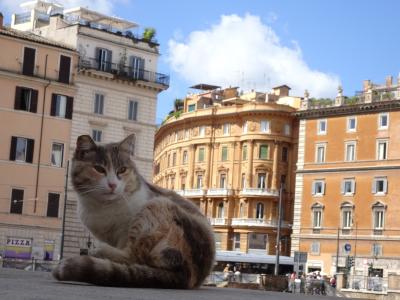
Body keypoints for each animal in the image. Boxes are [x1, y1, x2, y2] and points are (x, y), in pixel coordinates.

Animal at [54, 134, 216, 288]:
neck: (104, 206)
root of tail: (190, 277)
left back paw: (99, 252)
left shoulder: (125, 231)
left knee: (136, 255)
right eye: (99, 169)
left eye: (122, 170)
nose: (112, 184)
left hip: (157, 206)